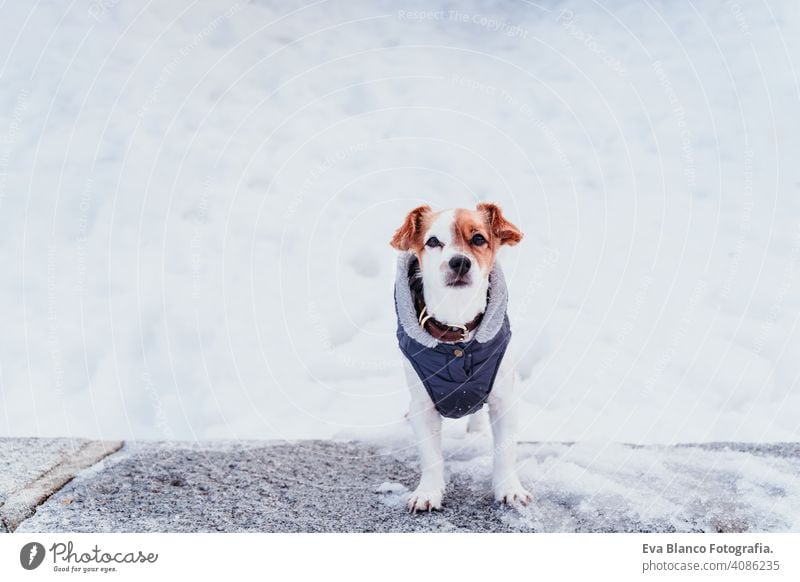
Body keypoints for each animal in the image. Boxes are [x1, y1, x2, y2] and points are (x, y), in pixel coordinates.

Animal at [390, 203, 532, 512]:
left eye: (478, 238)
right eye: (433, 241)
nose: (460, 262)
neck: (457, 331)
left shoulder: (504, 400)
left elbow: (505, 452)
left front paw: (509, 489)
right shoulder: (424, 406)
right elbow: (431, 457)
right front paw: (428, 492)